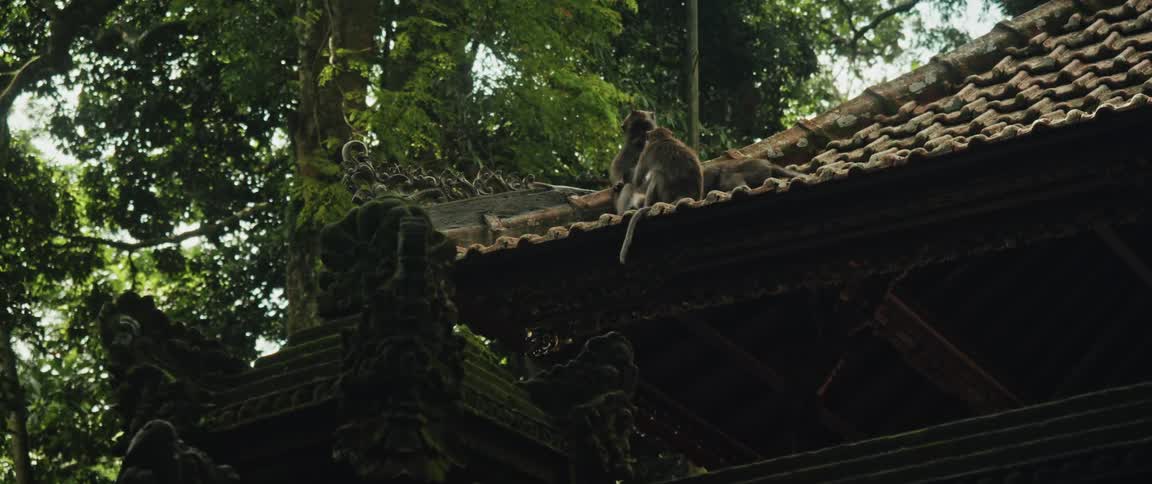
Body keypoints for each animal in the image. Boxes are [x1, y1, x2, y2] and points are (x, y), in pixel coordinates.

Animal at [618, 127, 703, 264]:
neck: (664, 139)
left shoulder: (646, 151)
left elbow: (637, 180)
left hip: (665, 195)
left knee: (657, 175)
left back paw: (646, 205)